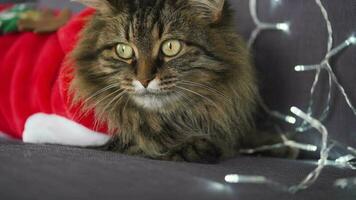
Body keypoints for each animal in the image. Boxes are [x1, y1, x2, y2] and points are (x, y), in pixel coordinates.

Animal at [71, 0, 294, 162]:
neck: (176, 117)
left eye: (171, 47)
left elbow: (241, 134)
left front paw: (280, 145)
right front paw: (197, 146)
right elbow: (146, 142)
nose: (144, 80)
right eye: (123, 50)